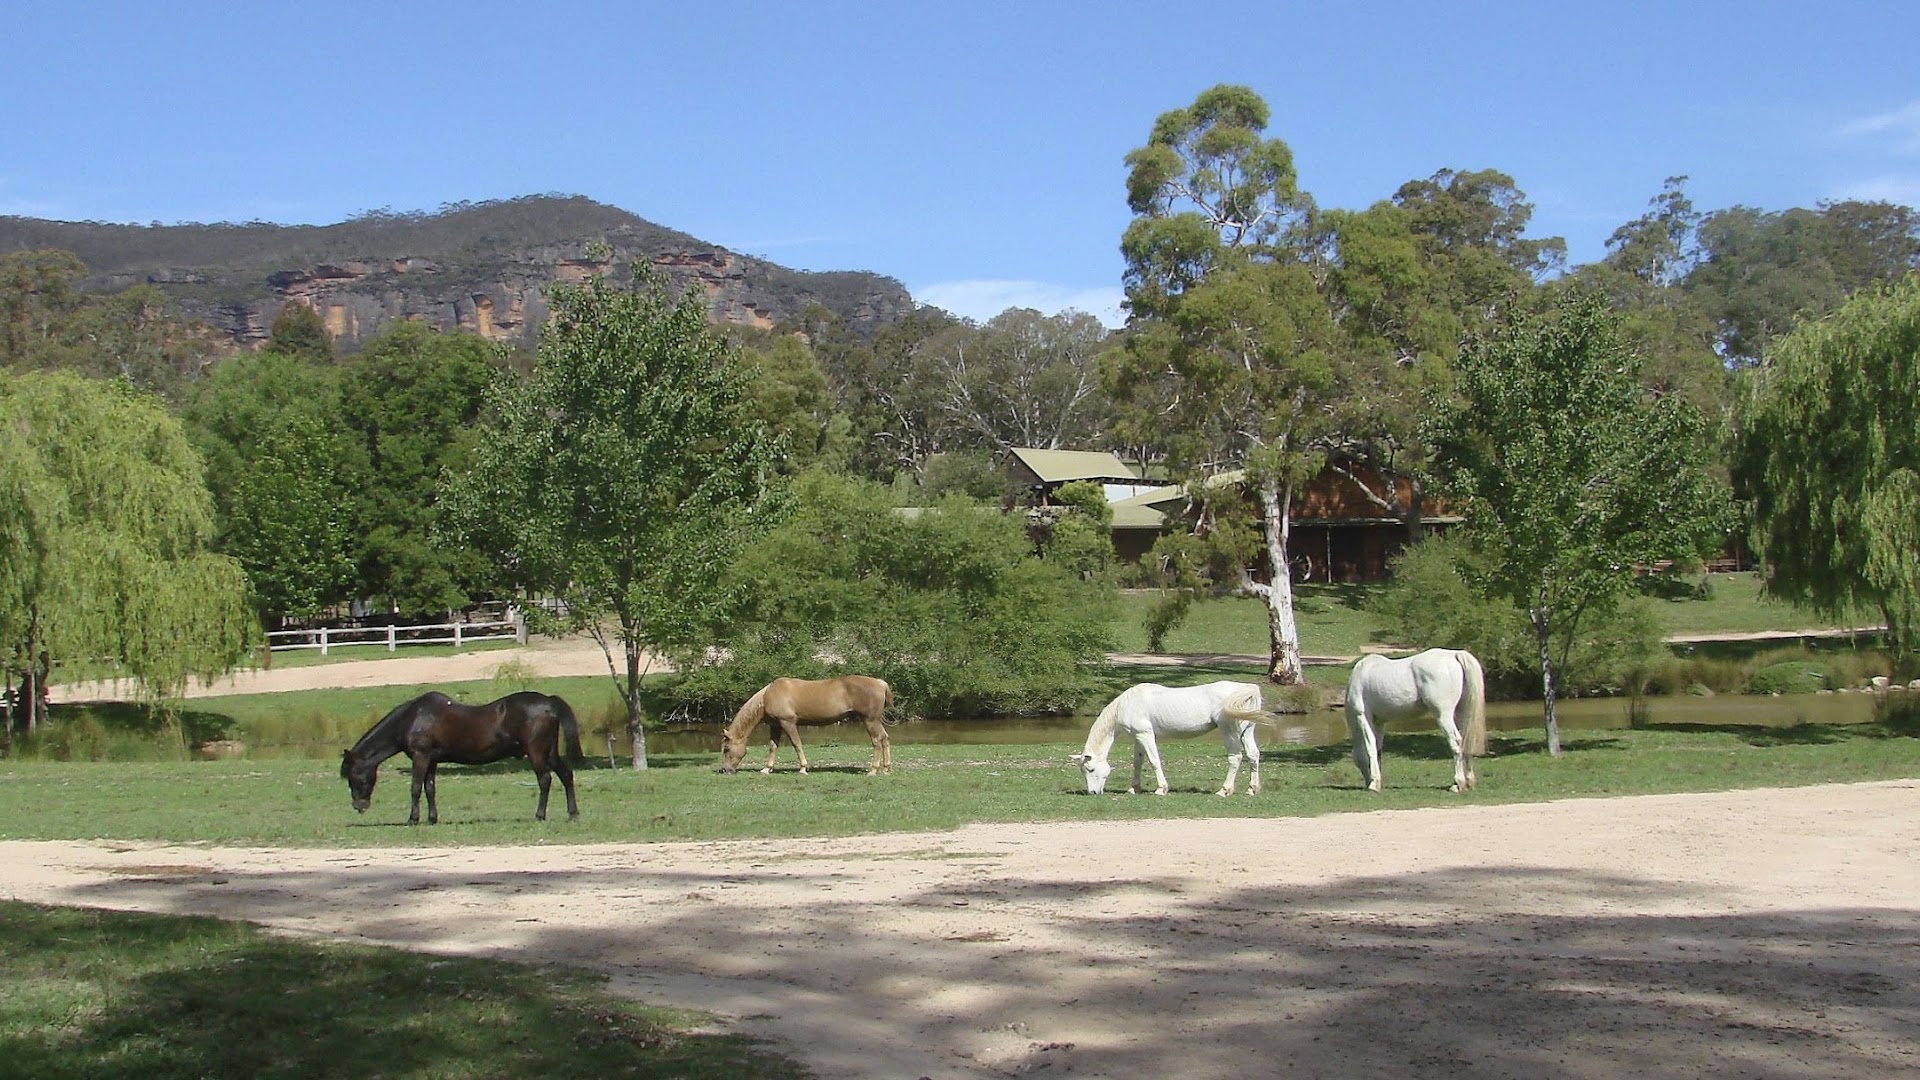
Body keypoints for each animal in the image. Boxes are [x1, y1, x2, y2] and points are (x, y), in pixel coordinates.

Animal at [339, 690, 583, 824]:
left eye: (355, 776)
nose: (359, 806)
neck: (414, 718)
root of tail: (549, 702)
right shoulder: (431, 760)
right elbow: (430, 789)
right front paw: (432, 818)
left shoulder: (420, 757)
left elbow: (416, 788)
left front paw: (413, 819)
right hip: (549, 752)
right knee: (566, 775)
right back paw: (573, 814)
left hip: (536, 753)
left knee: (545, 780)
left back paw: (540, 815)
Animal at [719, 675, 894, 776]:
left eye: (726, 749)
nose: (725, 770)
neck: (768, 696)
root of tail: (880, 683)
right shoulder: (775, 726)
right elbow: (773, 747)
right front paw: (767, 768)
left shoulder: (788, 723)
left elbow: (797, 744)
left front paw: (803, 768)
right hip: (875, 721)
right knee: (885, 739)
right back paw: (886, 768)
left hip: (870, 720)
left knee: (877, 741)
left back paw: (873, 770)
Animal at [1070, 681, 1266, 796]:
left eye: (1091, 769)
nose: (1093, 792)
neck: (1127, 704)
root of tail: (1244, 689)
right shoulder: (1138, 737)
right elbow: (1138, 762)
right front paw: (1134, 788)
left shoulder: (1146, 735)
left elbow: (1154, 761)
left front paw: (1161, 789)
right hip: (1247, 731)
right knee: (1253, 755)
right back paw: (1252, 789)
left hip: (1228, 731)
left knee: (1235, 758)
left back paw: (1224, 791)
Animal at [1344, 648, 1487, 793]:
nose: (1367, 782)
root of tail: (1454, 655)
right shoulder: (1379, 722)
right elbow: (1378, 748)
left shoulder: (1363, 716)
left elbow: (1370, 747)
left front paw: (1374, 784)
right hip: (1461, 713)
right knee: (1467, 740)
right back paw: (1469, 781)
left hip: (1443, 715)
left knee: (1456, 742)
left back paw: (1457, 783)